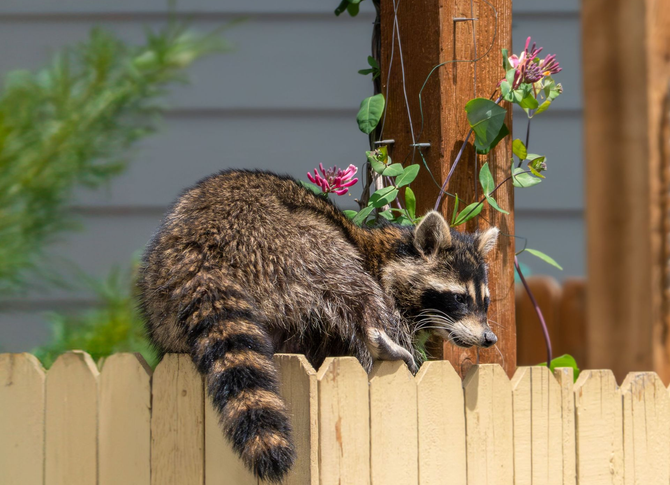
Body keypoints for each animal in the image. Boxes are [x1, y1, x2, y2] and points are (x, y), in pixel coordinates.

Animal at [138, 169, 498, 482]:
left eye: (485, 301)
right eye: (460, 299)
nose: (489, 338)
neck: (388, 255)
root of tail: (197, 246)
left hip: (163, 303)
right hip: (281, 237)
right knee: (344, 271)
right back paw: (375, 332)